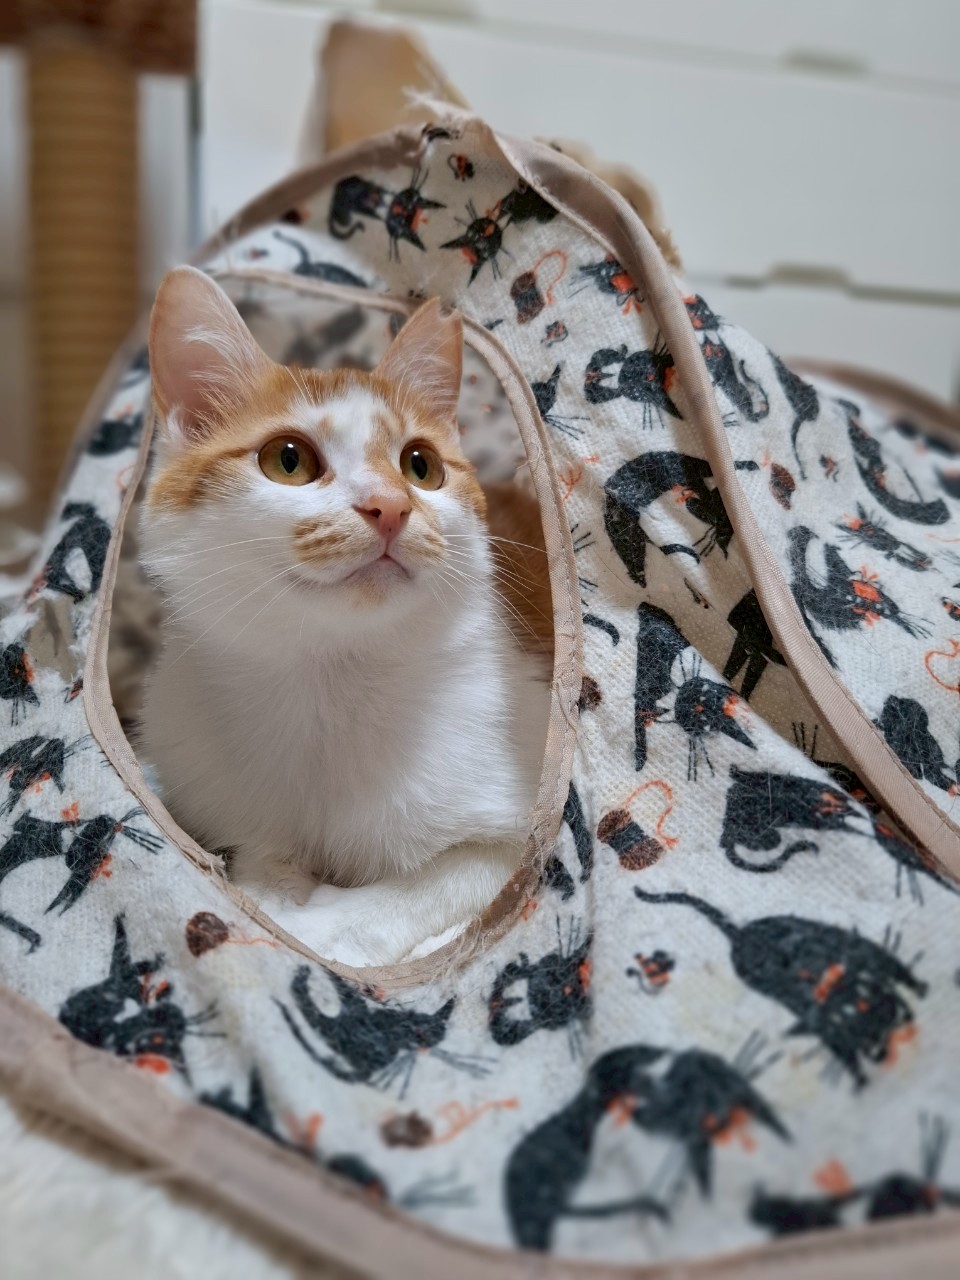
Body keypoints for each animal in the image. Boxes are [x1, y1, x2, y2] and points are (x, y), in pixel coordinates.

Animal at [138, 268, 553, 967]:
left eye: (421, 466)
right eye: (288, 459)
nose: (390, 506)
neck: (329, 682)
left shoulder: (518, 836)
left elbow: (431, 885)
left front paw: (317, 932)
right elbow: (261, 851)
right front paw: (271, 894)